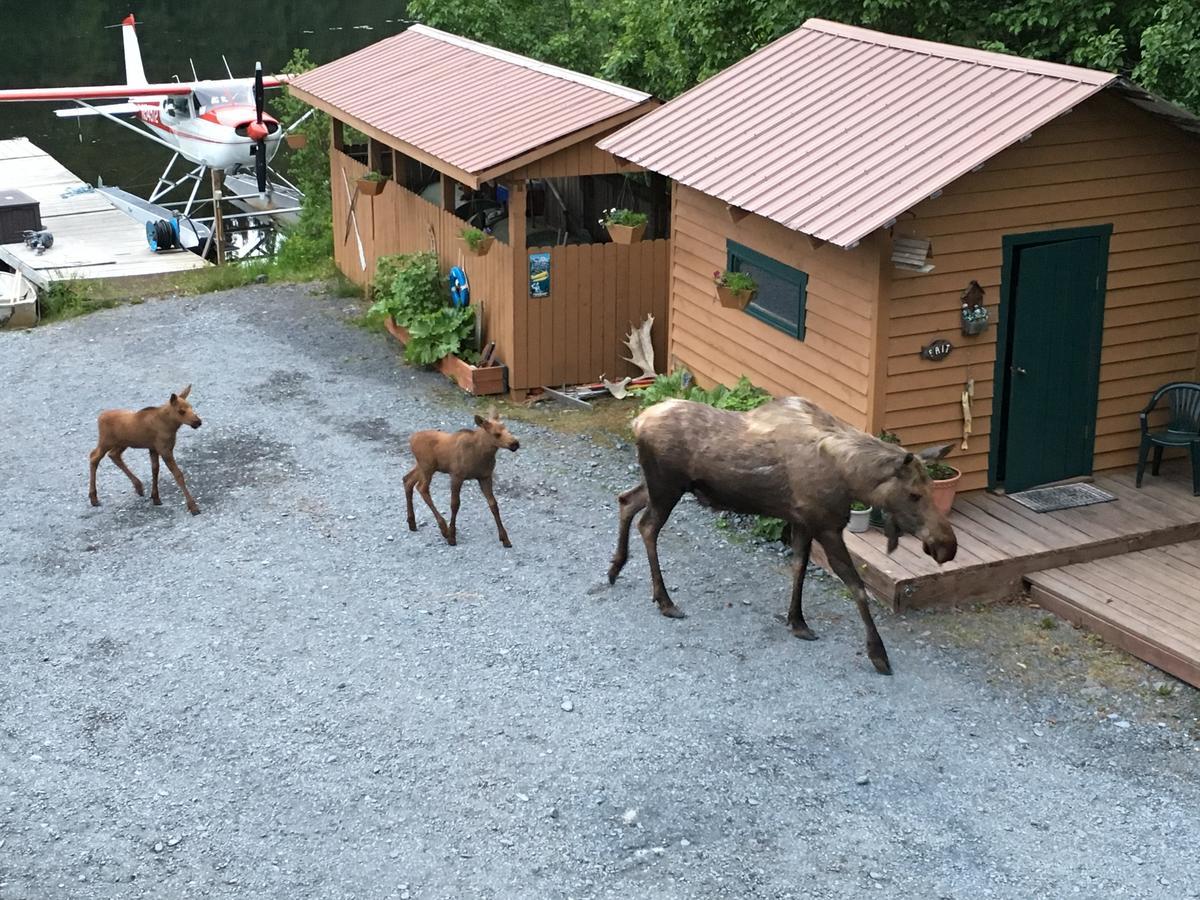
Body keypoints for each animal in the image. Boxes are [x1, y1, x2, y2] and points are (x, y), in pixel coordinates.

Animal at [87, 386, 204, 518]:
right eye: (181, 411)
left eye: (191, 407)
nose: (198, 422)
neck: (171, 426)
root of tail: (100, 417)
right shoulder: (164, 450)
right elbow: (178, 474)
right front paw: (193, 507)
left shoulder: (153, 448)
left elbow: (155, 469)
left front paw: (155, 497)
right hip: (106, 441)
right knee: (94, 456)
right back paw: (94, 498)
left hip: (122, 443)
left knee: (113, 455)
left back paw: (138, 486)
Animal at [405, 410, 518, 549]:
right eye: (496, 434)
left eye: (507, 429)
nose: (515, 444)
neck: (482, 454)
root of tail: (411, 439)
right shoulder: (457, 476)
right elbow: (455, 504)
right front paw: (452, 536)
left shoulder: (485, 477)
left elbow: (493, 505)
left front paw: (505, 538)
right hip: (427, 467)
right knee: (422, 488)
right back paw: (444, 529)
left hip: (423, 466)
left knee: (407, 480)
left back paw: (412, 522)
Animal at [609, 398, 955, 672]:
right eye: (913, 494)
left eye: (931, 488)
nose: (947, 546)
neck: (851, 479)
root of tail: (637, 422)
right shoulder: (827, 526)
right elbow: (857, 587)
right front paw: (878, 653)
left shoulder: (802, 522)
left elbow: (799, 567)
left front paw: (797, 621)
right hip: (667, 487)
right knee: (647, 526)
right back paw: (664, 600)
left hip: (660, 486)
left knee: (626, 500)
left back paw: (615, 568)